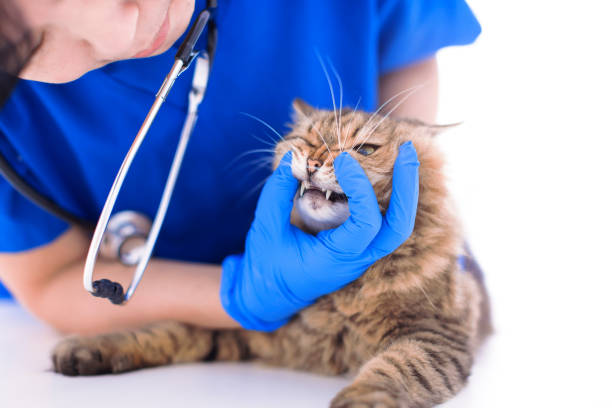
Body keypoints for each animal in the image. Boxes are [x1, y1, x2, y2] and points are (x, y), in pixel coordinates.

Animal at [50, 99, 490, 408]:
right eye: (307, 141)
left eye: (364, 149)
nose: (313, 162)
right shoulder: (250, 325)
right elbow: (165, 330)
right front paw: (90, 349)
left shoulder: (432, 336)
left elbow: (395, 368)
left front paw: (362, 399)